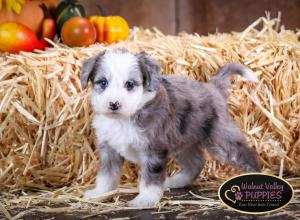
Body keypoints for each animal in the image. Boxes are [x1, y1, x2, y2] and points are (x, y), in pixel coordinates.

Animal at [81, 49, 260, 207]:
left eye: (130, 84)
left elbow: (151, 178)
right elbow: (107, 175)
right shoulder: (108, 149)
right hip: (184, 141)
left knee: (246, 154)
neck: (124, 119)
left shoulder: (153, 150)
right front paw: (99, 193)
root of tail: (213, 87)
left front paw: (145, 200)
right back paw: (175, 181)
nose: (114, 104)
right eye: (103, 82)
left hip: (220, 138)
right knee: (195, 163)